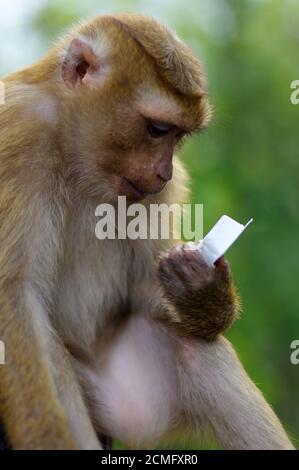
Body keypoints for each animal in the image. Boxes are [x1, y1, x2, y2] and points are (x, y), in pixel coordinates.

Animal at [0, 12, 296, 450]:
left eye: (179, 135)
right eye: (157, 129)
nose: (164, 172)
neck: (74, 151)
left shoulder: (157, 195)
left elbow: (144, 288)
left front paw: (201, 291)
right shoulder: (19, 132)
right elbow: (16, 295)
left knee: (197, 351)